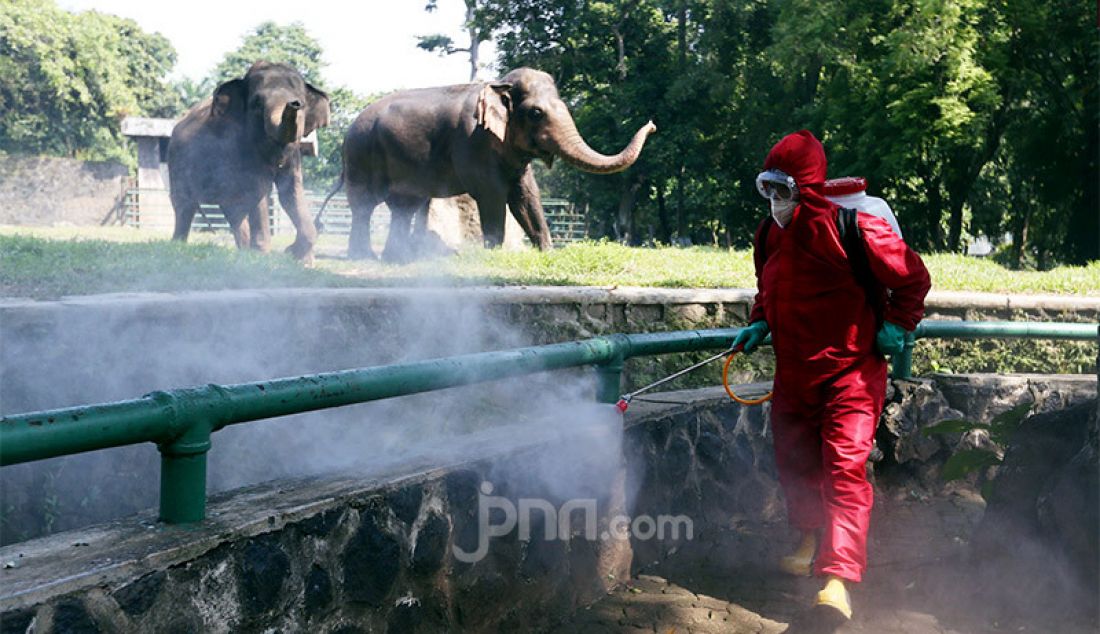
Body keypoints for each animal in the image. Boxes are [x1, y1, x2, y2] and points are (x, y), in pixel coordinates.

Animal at [167, 60, 330, 264]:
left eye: (302, 103)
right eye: (257, 104)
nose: (294, 104)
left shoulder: (294, 154)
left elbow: (291, 192)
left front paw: (299, 258)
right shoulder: (244, 148)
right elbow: (258, 190)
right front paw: (264, 256)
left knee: (234, 210)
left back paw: (243, 251)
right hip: (177, 161)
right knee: (184, 204)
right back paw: (177, 246)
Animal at [321, 66, 655, 259]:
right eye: (536, 113)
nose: (652, 124)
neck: (497, 85)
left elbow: (526, 195)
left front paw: (547, 253)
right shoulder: (473, 141)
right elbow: (492, 194)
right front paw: (494, 254)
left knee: (404, 206)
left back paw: (396, 259)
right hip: (362, 154)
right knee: (365, 205)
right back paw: (364, 257)